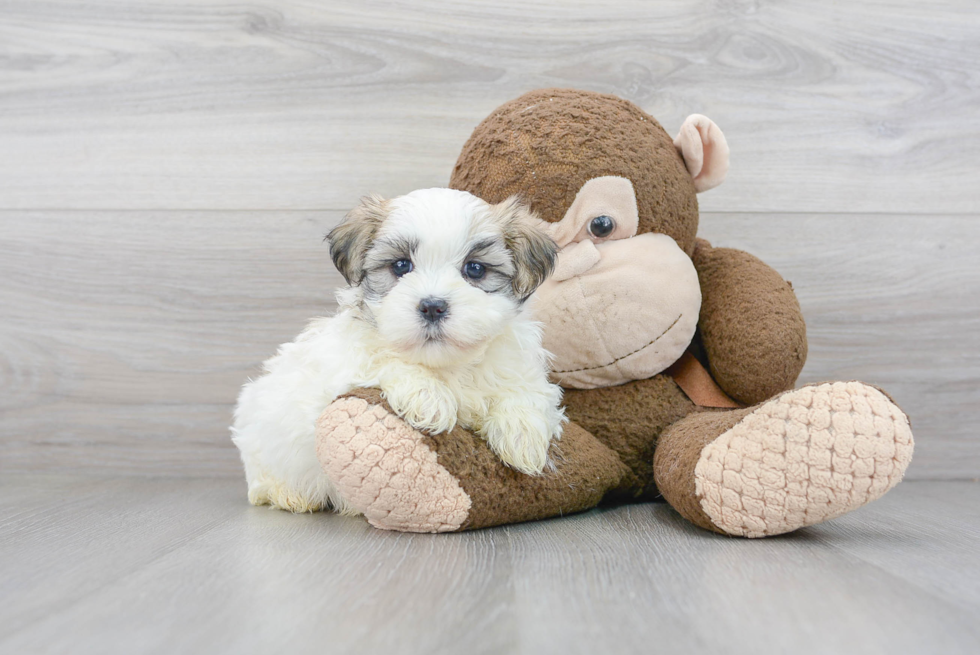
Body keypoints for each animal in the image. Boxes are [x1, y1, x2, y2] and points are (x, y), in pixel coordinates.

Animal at [232, 187, 568, 516]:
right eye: (400, 265)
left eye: (475, 269)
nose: (433, 306)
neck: (446, 365)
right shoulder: (346, 362)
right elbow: (382, 359)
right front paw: (428, 397)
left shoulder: (519, 365)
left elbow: (527, 391)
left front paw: (523, 435)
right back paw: (288, 494)